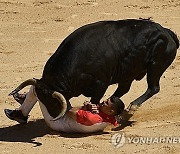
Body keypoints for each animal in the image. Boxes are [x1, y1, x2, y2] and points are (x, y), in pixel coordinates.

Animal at [9, 19, 179, 119]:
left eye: (52, 102)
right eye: (42, 100)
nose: (54, 116)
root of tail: (166, 32)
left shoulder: (101, 84)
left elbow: (94, 100)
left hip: (156, 66)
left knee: (153, 87)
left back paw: (132, 107)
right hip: (128, 72)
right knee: (124, 89)